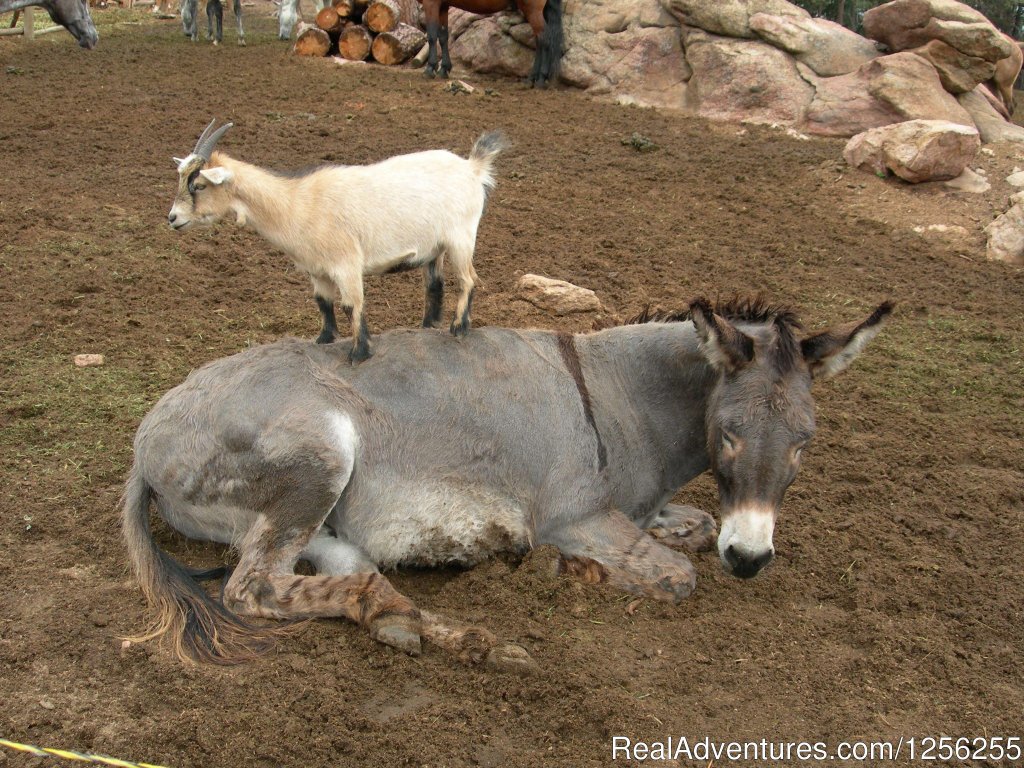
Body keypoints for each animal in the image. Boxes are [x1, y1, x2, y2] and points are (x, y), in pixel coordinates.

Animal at [117, 296, 888, 671]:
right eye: (728, 432)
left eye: (806, 439)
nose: (750, 559)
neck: (619, 397)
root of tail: (145, 443)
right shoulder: (577, 515)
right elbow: (677, 574)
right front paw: (572, 570)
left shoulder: (651, 511)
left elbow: (694, 528)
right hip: (318, 465)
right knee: (252, 589)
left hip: (324, 517)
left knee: (356, 571)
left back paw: (428, 629)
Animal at [167, 120, 507, 360]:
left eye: (198, 185)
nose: (172, 218)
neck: (297, 204)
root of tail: (473, 167)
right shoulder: (316, 269)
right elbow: (323, 303)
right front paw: (323, 340)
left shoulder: (346, 263)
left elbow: (351, 304)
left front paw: (359, 353)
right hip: (434, 248)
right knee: (435, 285)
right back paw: (427, 327)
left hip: (461, 237)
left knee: (468, 279)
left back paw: (458, 328)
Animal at [413, 0, 565, 87]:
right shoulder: (443, 6)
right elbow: (443, 37)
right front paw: (444, 69)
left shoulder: (431, 4)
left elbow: (432, 36)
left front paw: (430, 68)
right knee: (540, 42)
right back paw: (531, 78)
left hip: (533, 10)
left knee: (544, 40)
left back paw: (541, 78)